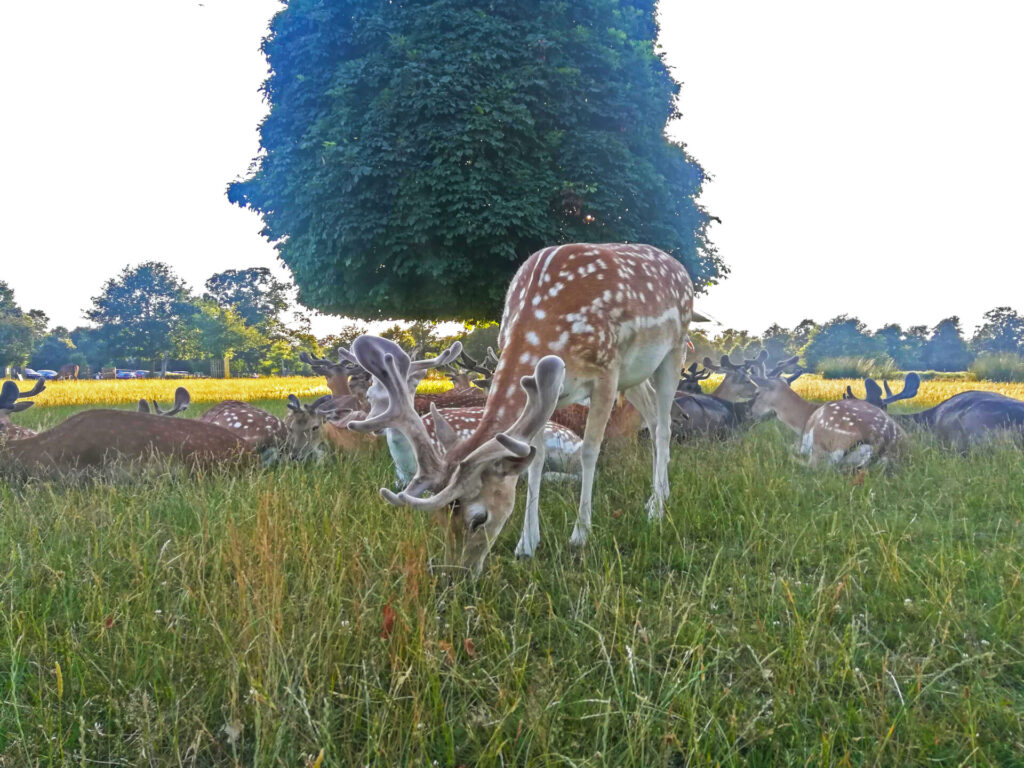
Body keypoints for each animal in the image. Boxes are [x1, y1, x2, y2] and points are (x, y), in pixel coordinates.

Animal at [348, 240, 692, 573]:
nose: (456, 573)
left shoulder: (606, 372)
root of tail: (680, 268)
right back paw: (657, 495)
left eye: (479, 518)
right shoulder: (547, 391)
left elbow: (590, 451)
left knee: (664, 424)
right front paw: (527, 543)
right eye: (439, 519)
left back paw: (657, 507)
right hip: (633, 376)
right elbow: (535, 460)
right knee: (651, 416)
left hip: (672, 350)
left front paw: (580, 535)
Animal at [745, 366, 921, 468]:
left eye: (757, 393)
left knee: (814, 466)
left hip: (825, 438)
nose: (750, 413)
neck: (804, 418)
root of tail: (882, 440)